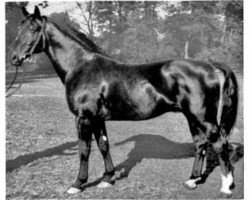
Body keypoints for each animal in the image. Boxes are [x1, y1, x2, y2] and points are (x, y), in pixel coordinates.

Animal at [9, 5, 238, 197]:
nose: (13, 57)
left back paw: (226, 187)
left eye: (33, 28)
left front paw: (77, 184)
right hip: (192, 117)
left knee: (220, 144)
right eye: (19, 27)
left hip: (203, 118)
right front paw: (107, 179)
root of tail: (211, 66)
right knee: (200, 144)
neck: (82, 66)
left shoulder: (84, 118)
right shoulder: (98, 119)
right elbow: (103, 145)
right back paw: (192, 181)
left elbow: (84, 150)